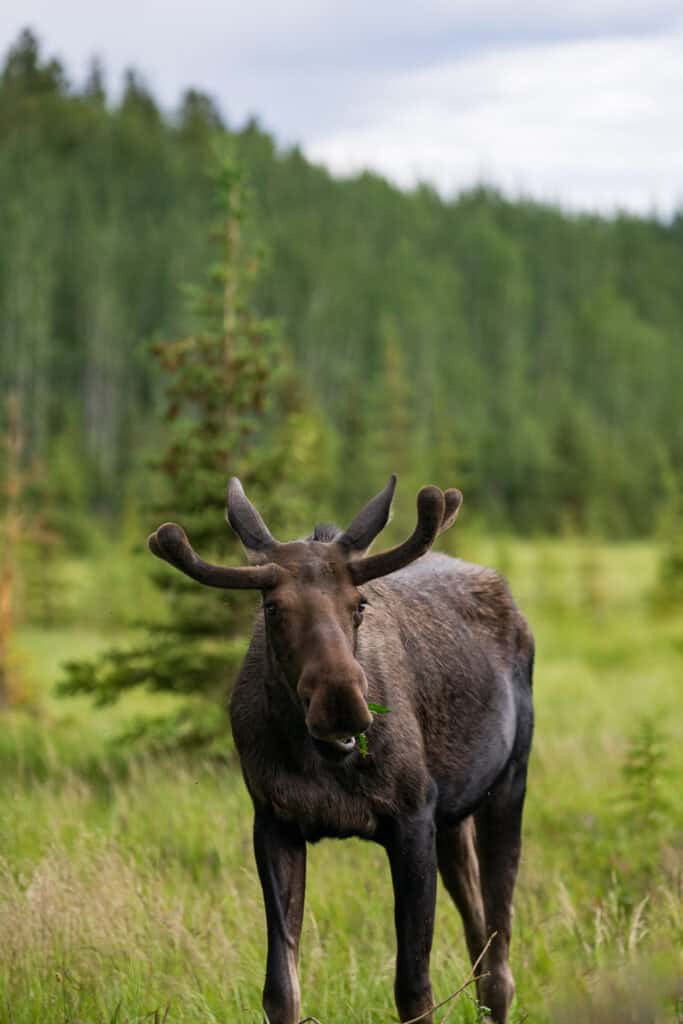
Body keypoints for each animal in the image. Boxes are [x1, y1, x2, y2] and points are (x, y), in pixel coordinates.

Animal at [148, 475, 534, 1024]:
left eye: (359, 604)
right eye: (272, 608)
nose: (341, 703)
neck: (324, 765)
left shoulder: (412, 818)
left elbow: (414, 989)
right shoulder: (275, 821)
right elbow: (280, 989)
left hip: (509, 783)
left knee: (499, 962)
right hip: (455, 818)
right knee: (480, 938)